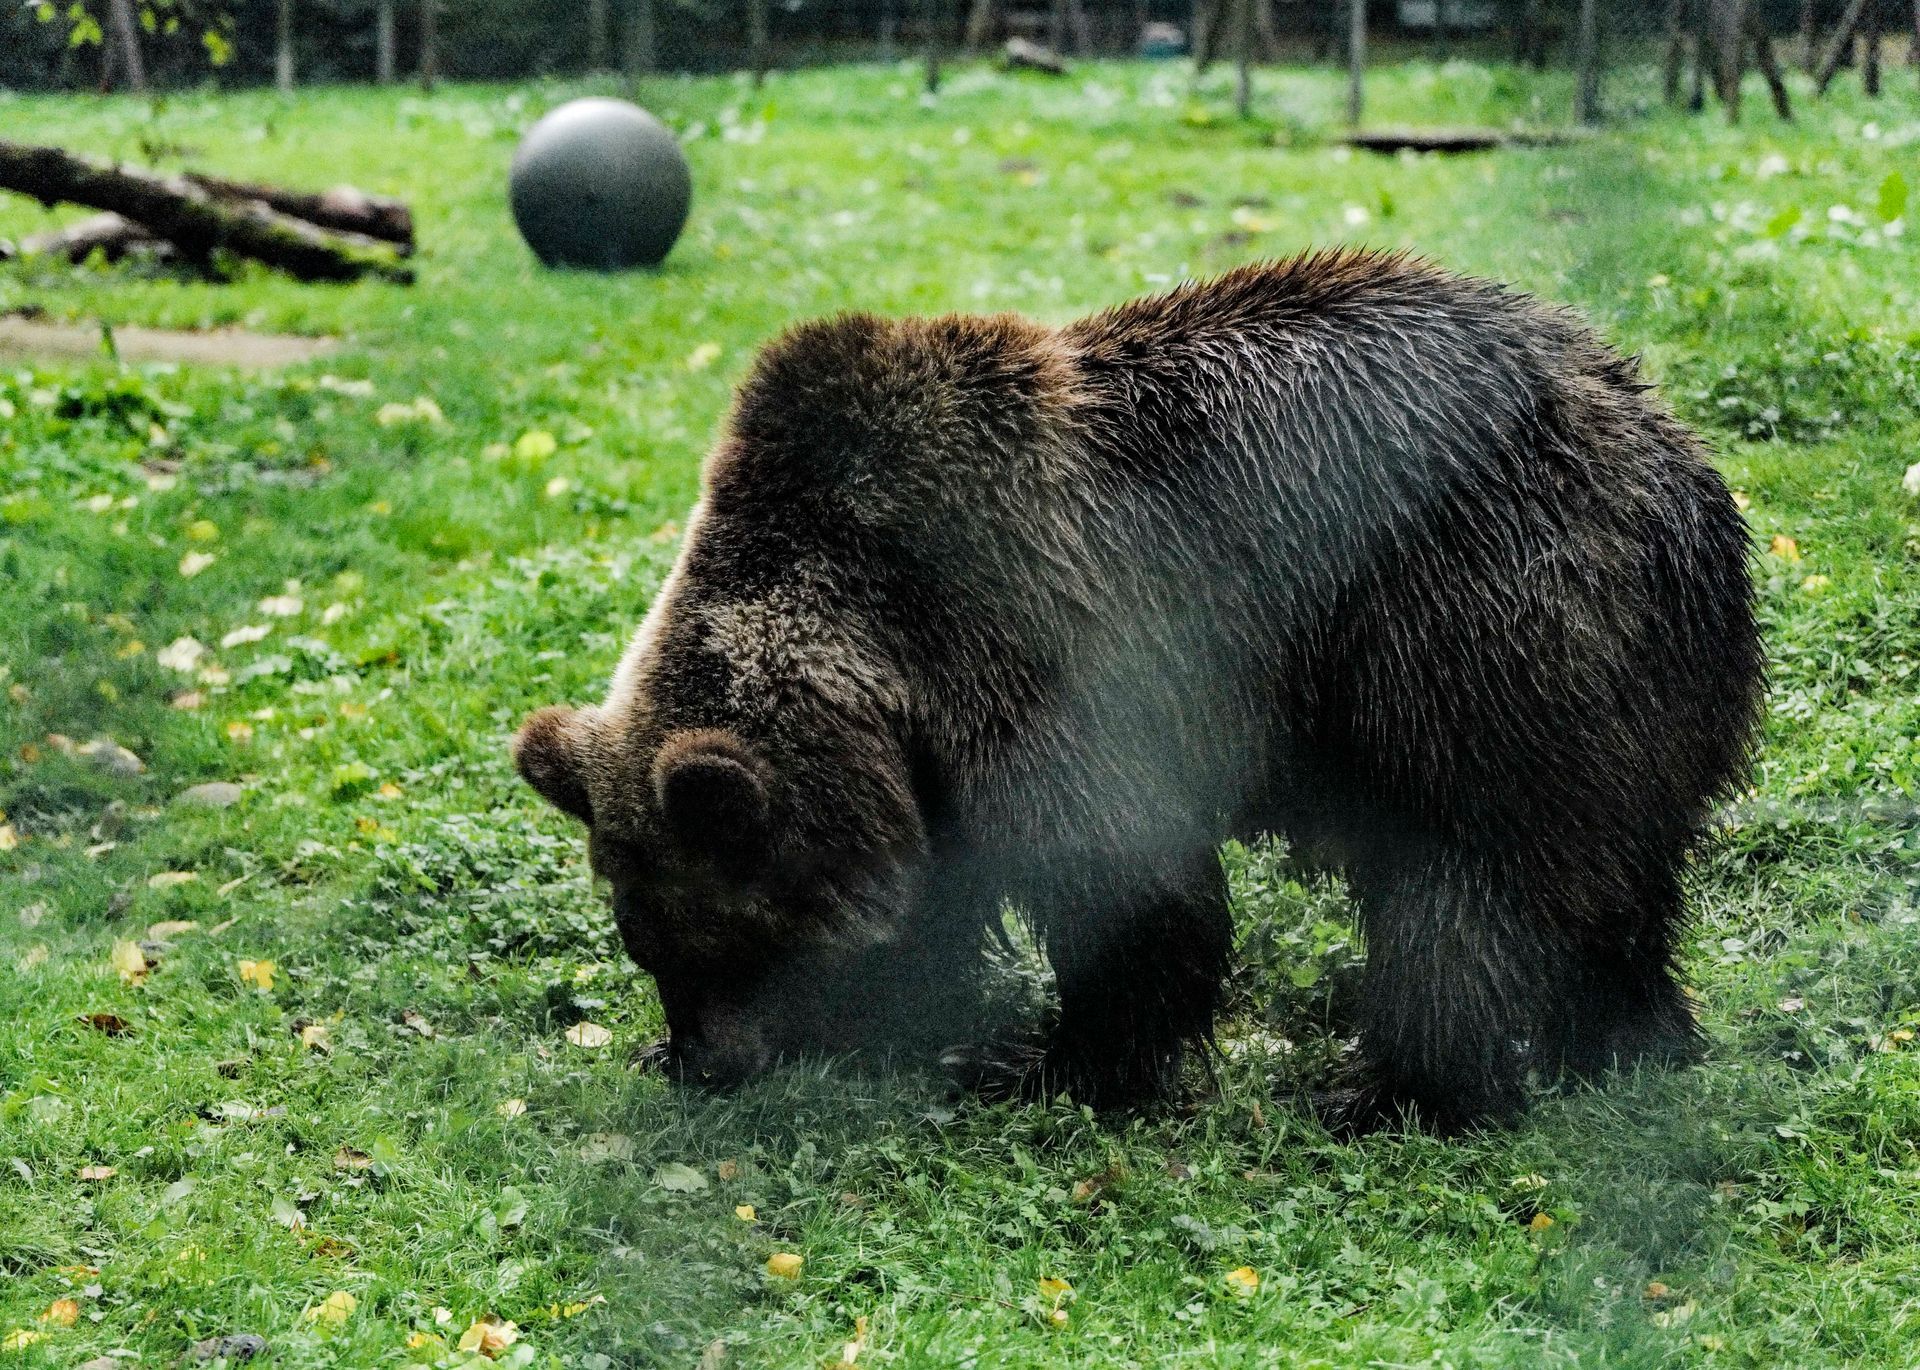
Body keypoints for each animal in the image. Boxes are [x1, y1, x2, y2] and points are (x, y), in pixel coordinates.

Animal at [513, 249, 1763, 1130]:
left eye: (726, 937)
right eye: (645, 941)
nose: (704, 1061)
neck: (880, 643)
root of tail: (1672, 450)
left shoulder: (1043, 643)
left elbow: (1122, 878)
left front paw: (1054, 1061)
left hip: (1471, 626)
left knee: (1467, 874)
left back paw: (1396, 1086)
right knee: (1616, 875)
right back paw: (1630, 1035)